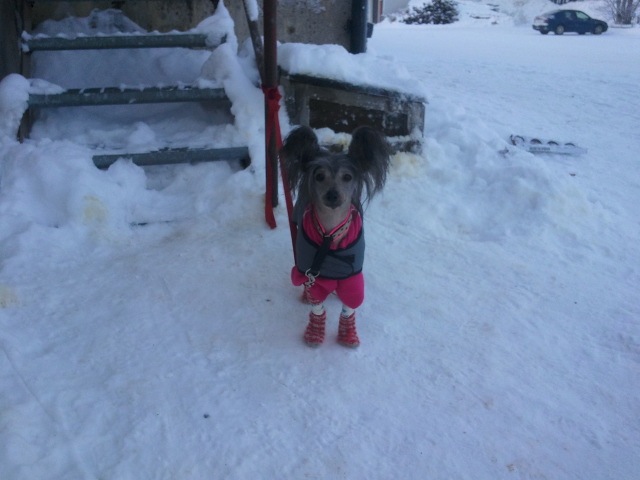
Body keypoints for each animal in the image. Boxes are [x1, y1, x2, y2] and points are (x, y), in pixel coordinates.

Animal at [280, 126, 391, 347]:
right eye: (319, 176)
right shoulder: (312, 272)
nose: (332, 194)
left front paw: (347, 333)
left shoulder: (352, 276)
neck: (330, 234)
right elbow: (316, 303)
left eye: (347, 177)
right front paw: (315, 331)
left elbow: (351, 303)